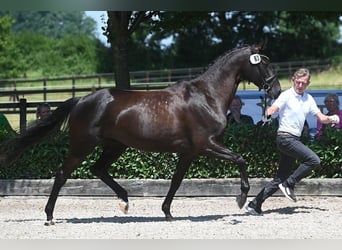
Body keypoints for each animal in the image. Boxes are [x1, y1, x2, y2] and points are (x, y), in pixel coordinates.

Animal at [0, 45, 280, 225]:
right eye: (265, 63)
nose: (276, 90)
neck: (206, 96)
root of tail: (80, 99)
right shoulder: (206, 145)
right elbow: (241, 159)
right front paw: (241, 199)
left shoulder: (188, 152)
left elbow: (176, 181)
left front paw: (167, 212)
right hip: (83, 145)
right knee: (61, 175)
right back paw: (49, 216)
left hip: (115, 146)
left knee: (98, 169)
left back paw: (124, 201)